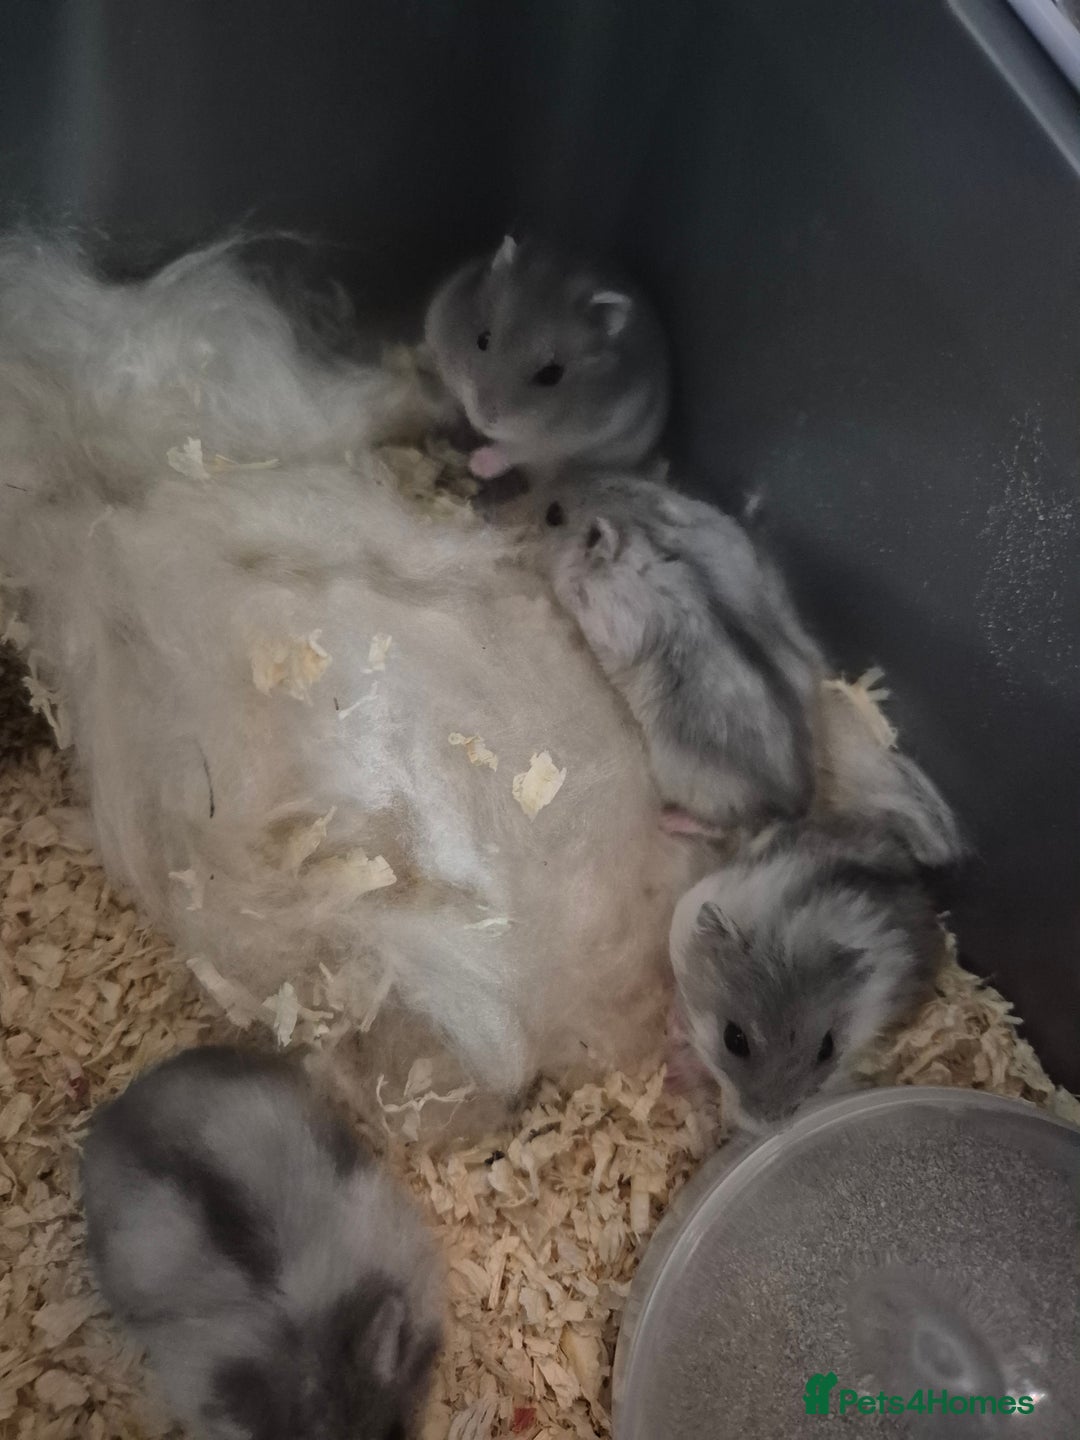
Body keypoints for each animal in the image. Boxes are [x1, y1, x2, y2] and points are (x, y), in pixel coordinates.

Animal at [423, 234, 670, 481]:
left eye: (551, 375)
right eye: (482, 340)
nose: (484, 420)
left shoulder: (566, 441)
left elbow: (516, 449)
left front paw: (476, 464)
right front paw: (442, 415)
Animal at [540, 472, 825, 833]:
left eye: (554, 514)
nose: (547, 490)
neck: (641, 521)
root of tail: (796, 805)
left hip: (693, 783)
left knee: (722, 825)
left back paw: (670, 819)